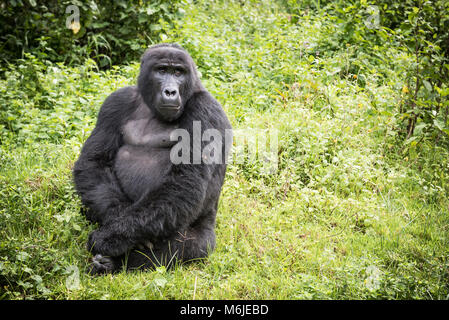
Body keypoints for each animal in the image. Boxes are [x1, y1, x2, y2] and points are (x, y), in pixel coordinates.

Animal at [72, 43, 231, 276]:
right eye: (162, 70)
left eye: (178, 73)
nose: (170, 91)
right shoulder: (116, 101)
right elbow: (95, 162)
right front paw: (116, 218)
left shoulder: (206, 110)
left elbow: (185, 180)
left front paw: (111, 238)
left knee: (193, 245)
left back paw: (116, 263)